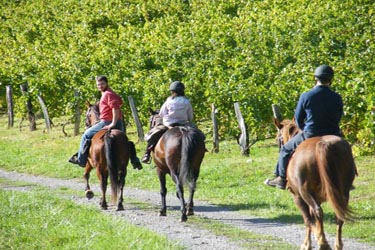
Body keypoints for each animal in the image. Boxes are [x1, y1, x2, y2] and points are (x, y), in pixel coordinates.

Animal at [276, 117, 358, 250]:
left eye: (279, 138)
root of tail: (323, 144)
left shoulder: (297, 197)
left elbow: (308, 220)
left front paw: (308, 244)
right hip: (344, 193)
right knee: (338, 216)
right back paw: (337, 244)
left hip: (304, 193)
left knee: (317, 212)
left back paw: (323, 243)